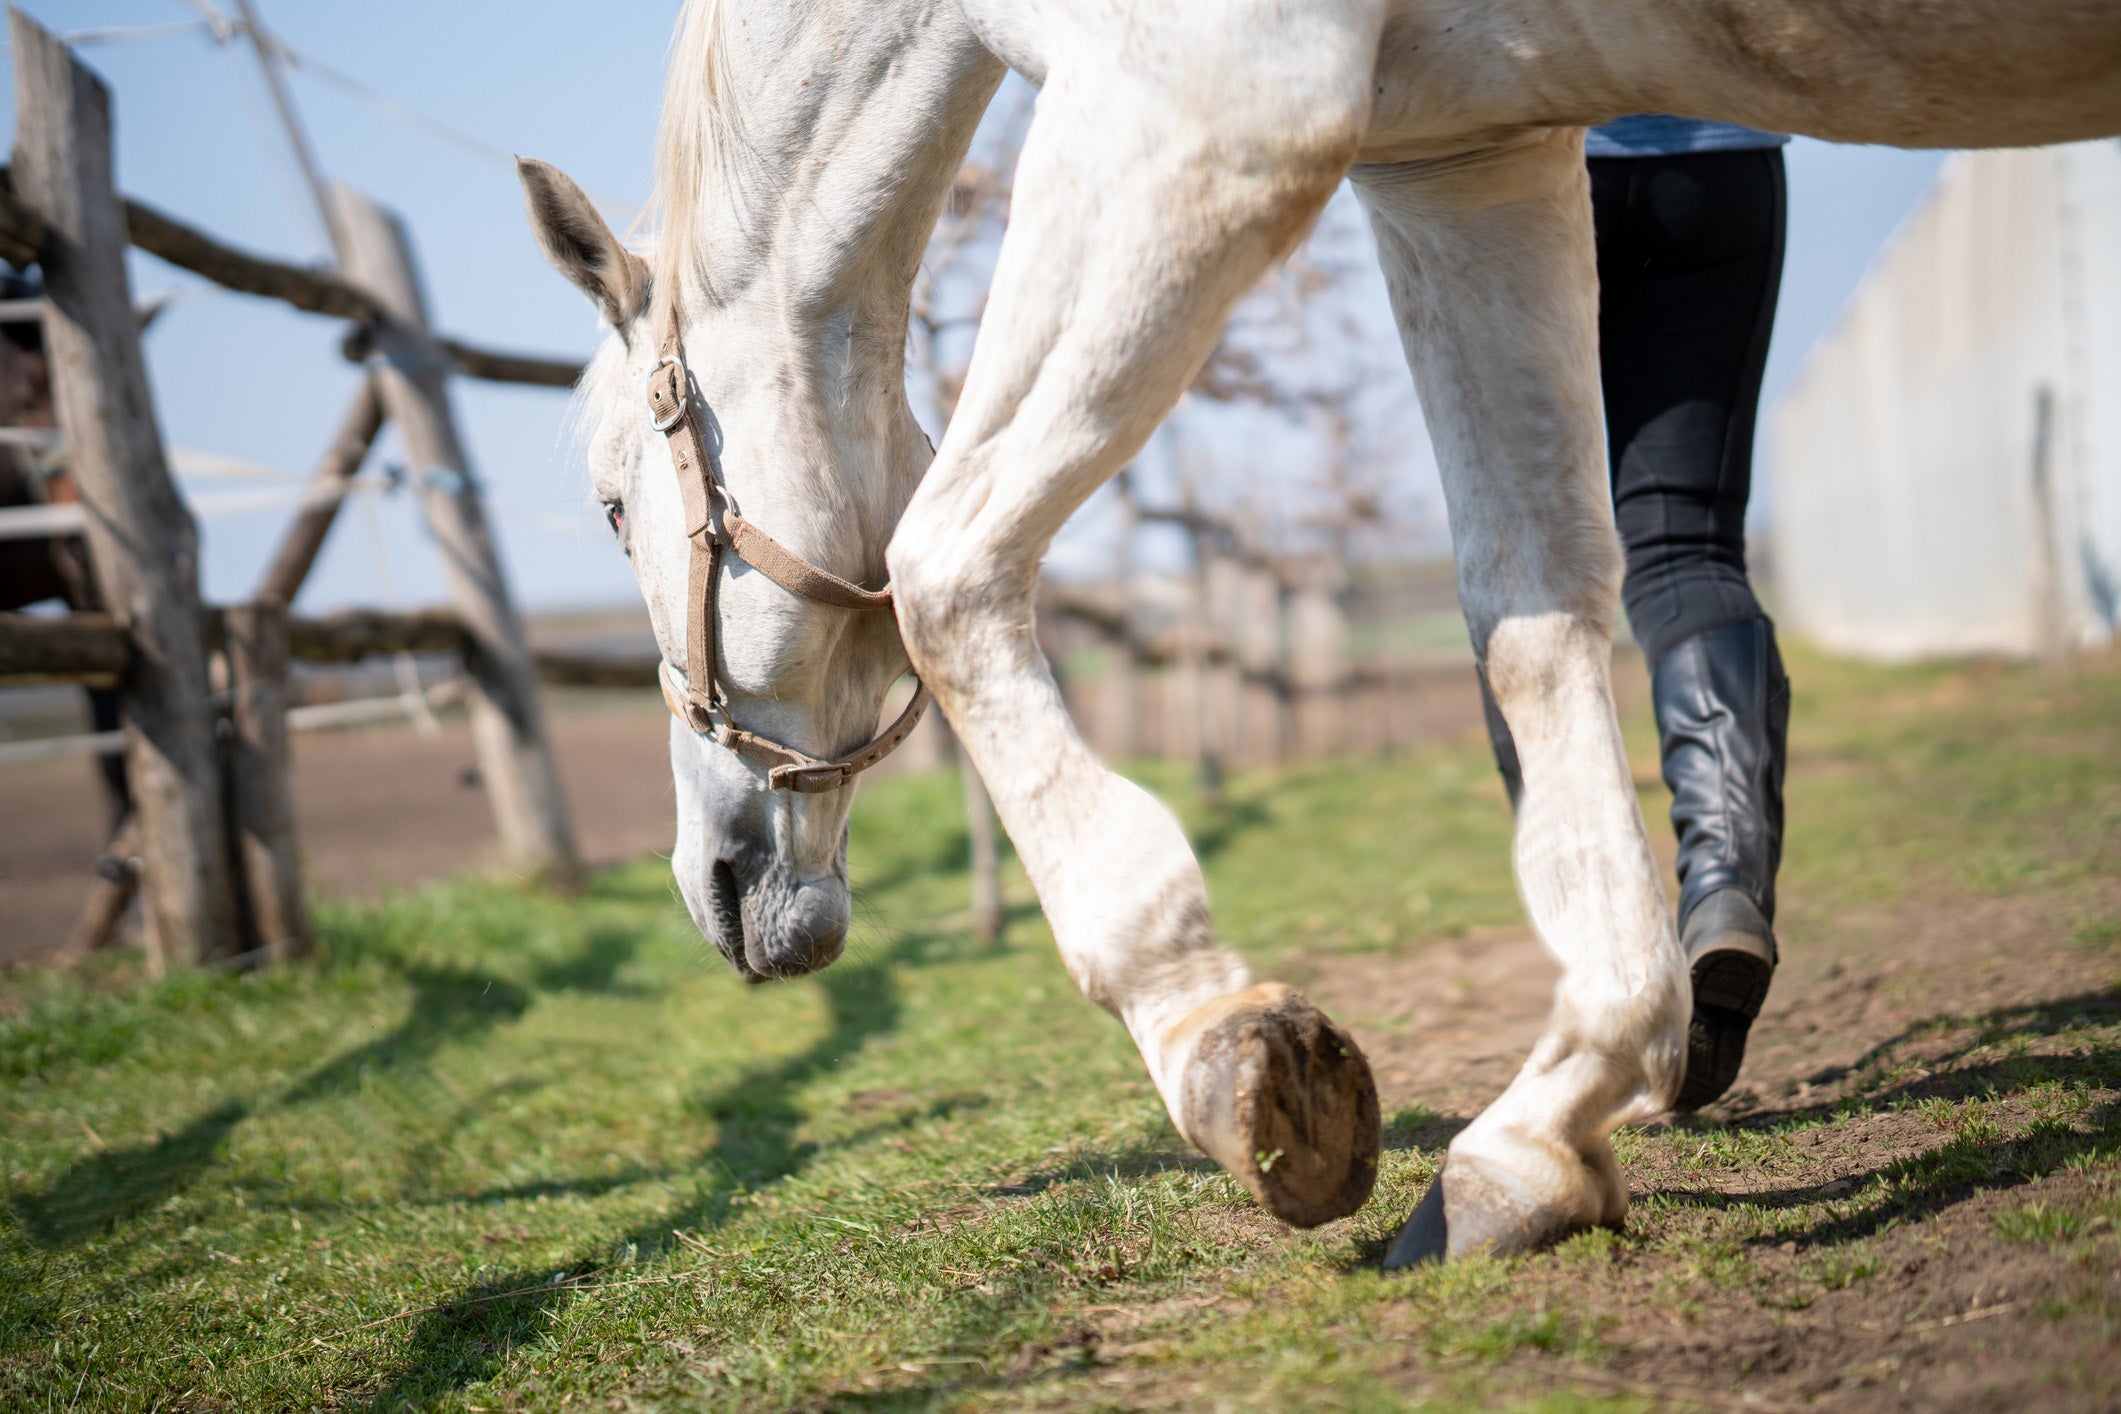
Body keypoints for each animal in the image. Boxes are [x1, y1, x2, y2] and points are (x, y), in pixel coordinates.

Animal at [517, 0, 2121, 1256]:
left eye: (610, 504)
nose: (714, 882)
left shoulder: (1206, 106)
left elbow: (944, 566)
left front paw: (1220, 1041)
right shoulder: (1466, 160)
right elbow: (1531, 607)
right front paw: (1542, 1133)